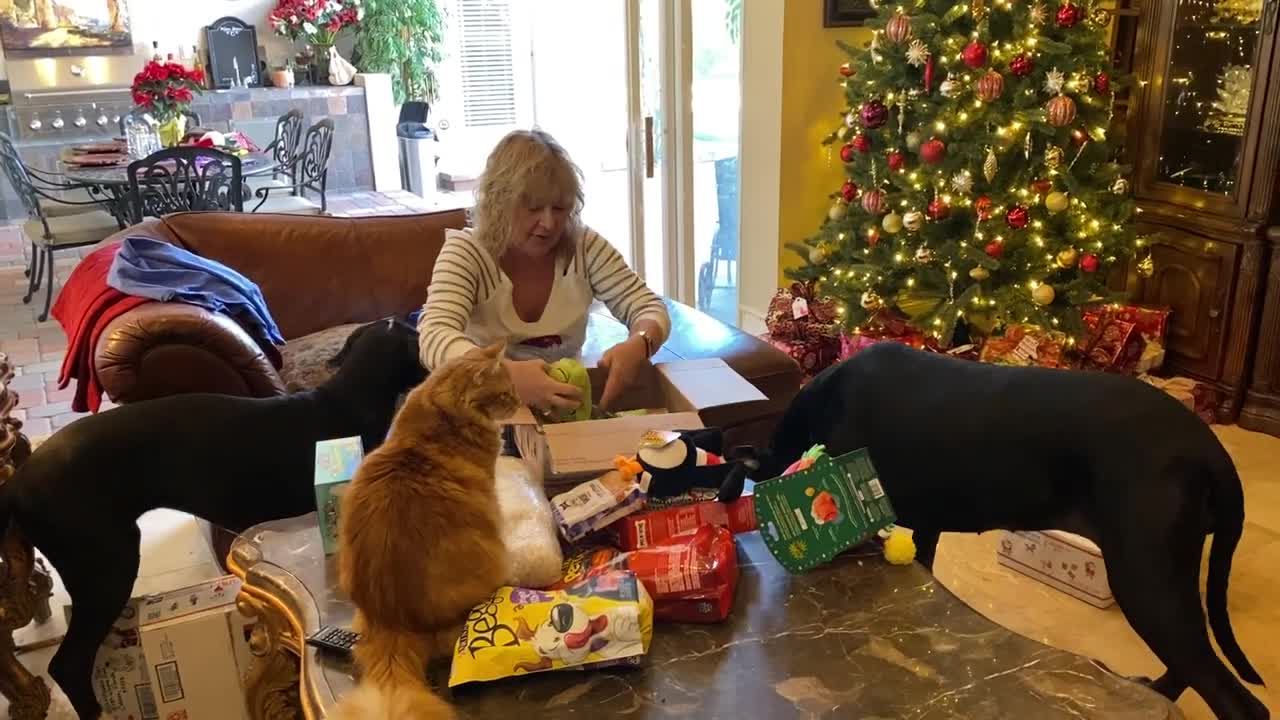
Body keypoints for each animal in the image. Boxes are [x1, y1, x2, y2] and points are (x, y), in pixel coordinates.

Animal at [752, 340, 1264, 717]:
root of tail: (1210, 449)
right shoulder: (929, 527)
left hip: (1145, 578)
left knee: (1232, 696)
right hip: (1164, 581)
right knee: (1189, 665)